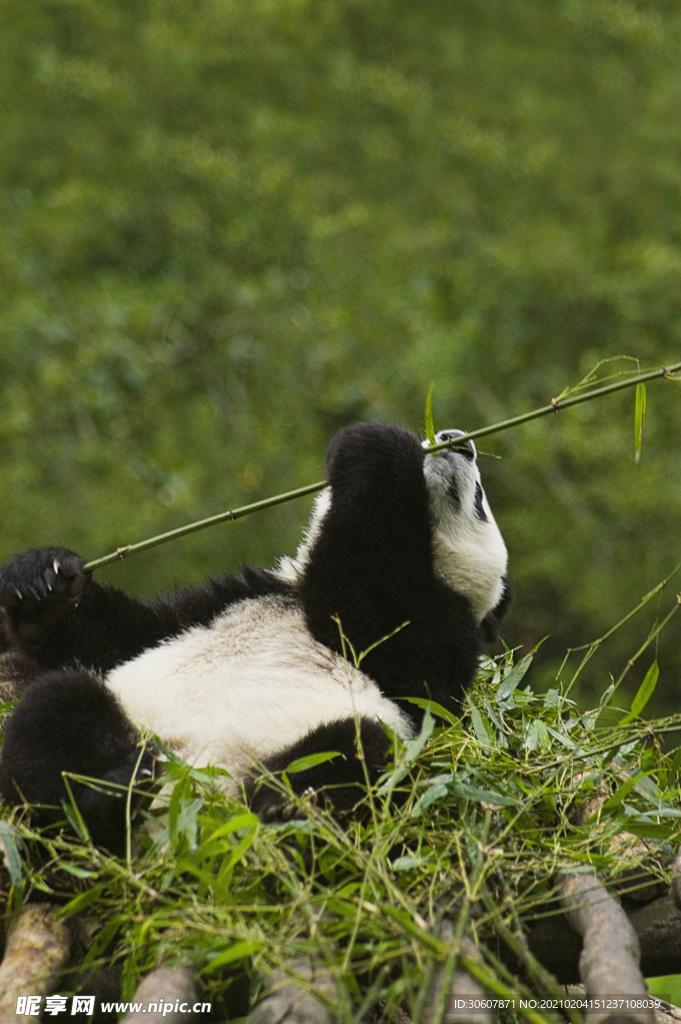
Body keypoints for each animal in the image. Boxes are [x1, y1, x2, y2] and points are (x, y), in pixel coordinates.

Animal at [0, 419, 509, 851]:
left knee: (352, 747)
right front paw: (43, 582)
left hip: (311, 746)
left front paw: (377, 446)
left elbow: (371, 610)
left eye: (480, 500)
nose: (455, 440)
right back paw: (106, 798)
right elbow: (112, 637)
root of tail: (189, 816)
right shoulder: (224, 601)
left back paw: (281, 811)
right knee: (59, 708)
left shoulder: (440, 633)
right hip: (134, 725)